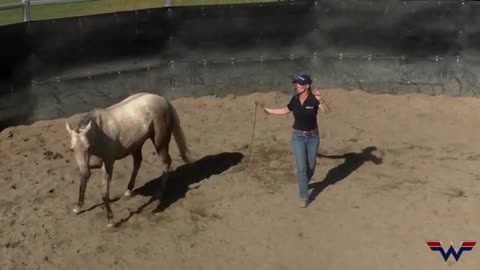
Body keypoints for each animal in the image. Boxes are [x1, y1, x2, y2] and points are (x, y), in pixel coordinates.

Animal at [65, 92, 191, 227]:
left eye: (88, 148)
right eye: (72, 149)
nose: (85, 172)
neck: (98, 135)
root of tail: (164, 100)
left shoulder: (108, 165)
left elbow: (104, 193)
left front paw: (111, 220)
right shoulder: (86, 166)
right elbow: (82, 183)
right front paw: (78, 208)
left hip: (160, 143)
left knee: (166, 162)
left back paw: (159, 194)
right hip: (137, 145)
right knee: (138, 162)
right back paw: (128, 191)